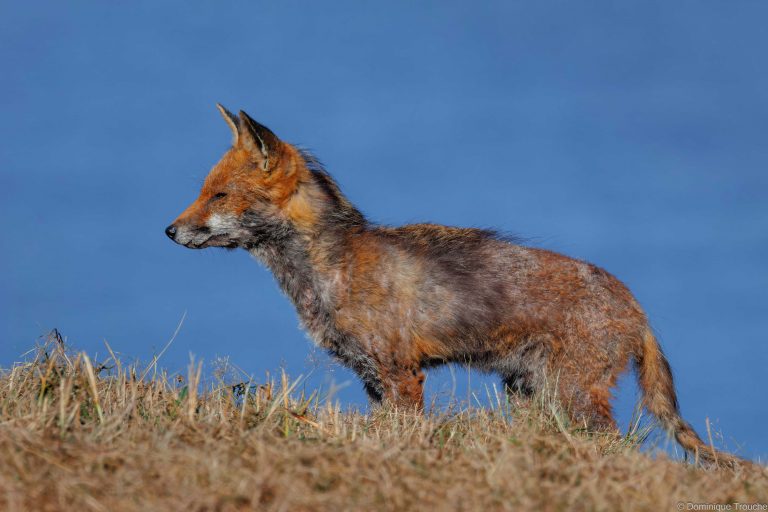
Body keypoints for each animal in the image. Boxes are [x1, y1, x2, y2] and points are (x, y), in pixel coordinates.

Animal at [166, 104, 744, 467]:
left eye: (218, 195)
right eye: (203, 191)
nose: (169, 230)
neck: (328, 271)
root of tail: (636, 306)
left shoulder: (401, 373)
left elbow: (405, 434)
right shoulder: (372, 378)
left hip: (571, 395)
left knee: (615, 443)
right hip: (528, 393)